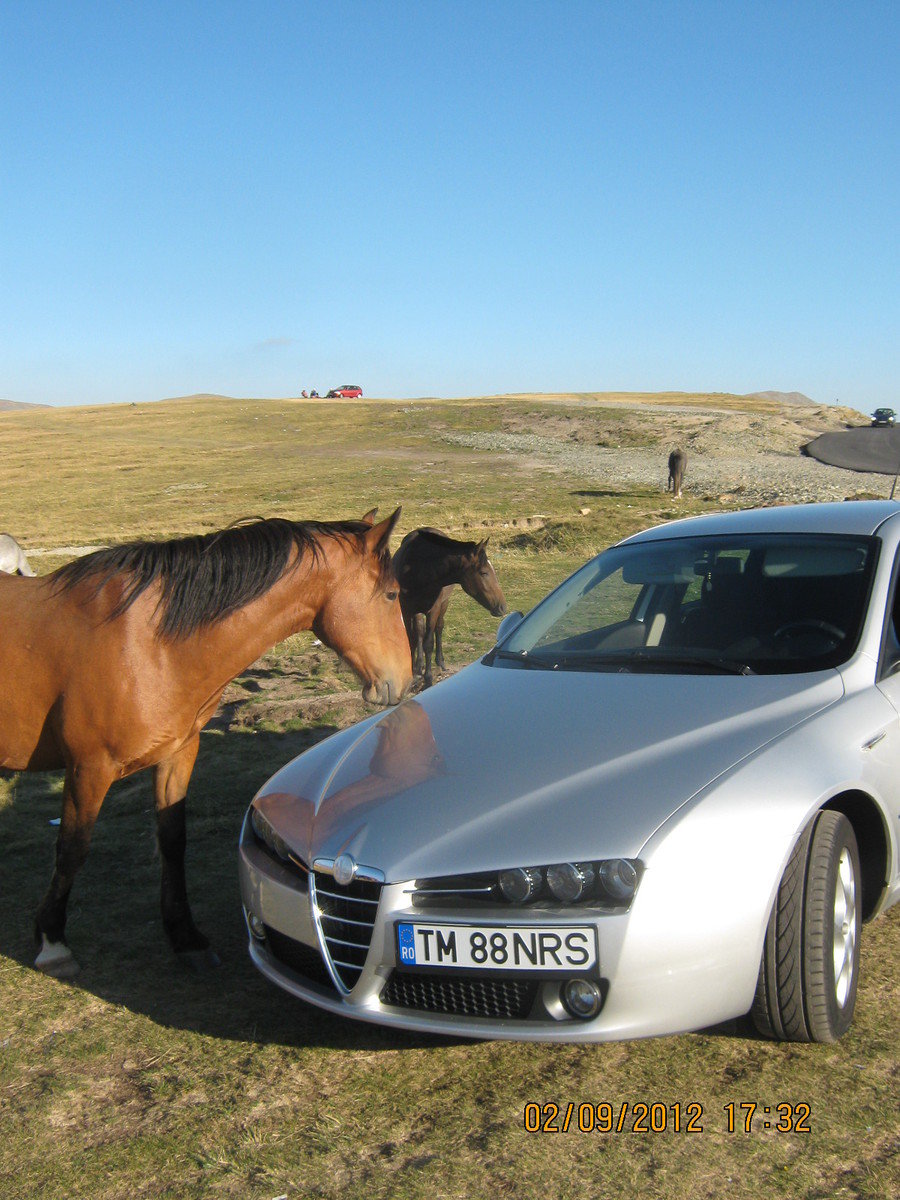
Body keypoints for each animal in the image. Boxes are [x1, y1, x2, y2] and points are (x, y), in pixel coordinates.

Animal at [0, 506, 412, 974]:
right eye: (392, 595)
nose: (405, 679)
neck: (150, 643)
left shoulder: (177, 754)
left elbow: (172, 841)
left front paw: (185, 935)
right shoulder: (89, 766)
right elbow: (72, 848)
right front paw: (52, 940)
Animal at [393, 530, 511, 691]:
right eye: (483, 572)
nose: (502, 607)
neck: (419, 570)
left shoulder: (434, 609)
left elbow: (428, 643)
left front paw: (428, 679)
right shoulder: (406, 608)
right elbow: (412, 640)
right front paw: (413, 676)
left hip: (444, 604)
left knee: (438, 628)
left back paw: (440, 662)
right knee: (419, 632)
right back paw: (418, 667)